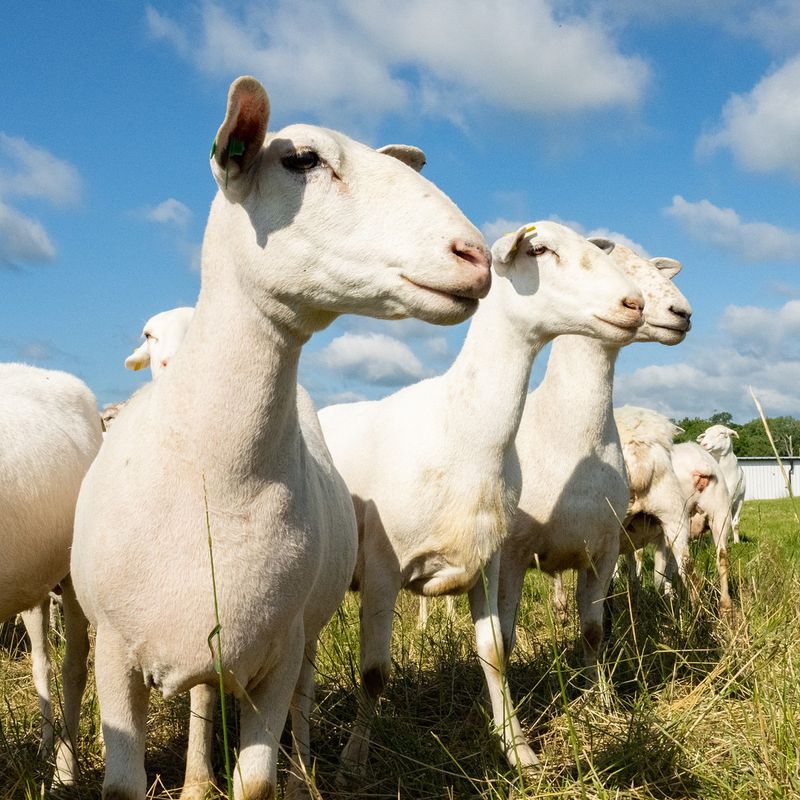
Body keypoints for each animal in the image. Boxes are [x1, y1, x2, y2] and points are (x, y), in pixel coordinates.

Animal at [69, 75, 494, 800]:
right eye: (302, 160)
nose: (476, 257)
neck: (213, 471)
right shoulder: (117, 655)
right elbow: (124, 783)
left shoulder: (277, 652)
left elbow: (258, 781)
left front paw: (278, 779)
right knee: (204, 698)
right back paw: (196, 780)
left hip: (301, 634)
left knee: (300, 698)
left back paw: (302, 774)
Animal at [318, 222, 644, 772]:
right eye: (539, 250)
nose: (634, 303)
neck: (462, 426)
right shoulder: (384, 568)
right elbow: (375, 672)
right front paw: (353, 760)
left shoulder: (488, 560)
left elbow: (494, 651)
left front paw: (518, 748)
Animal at [500, 244, 692, 676]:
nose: (682, 312)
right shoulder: (511, 556)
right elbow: (504, 640)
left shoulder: (603, 551)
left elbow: (593, 631)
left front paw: (596, 689)